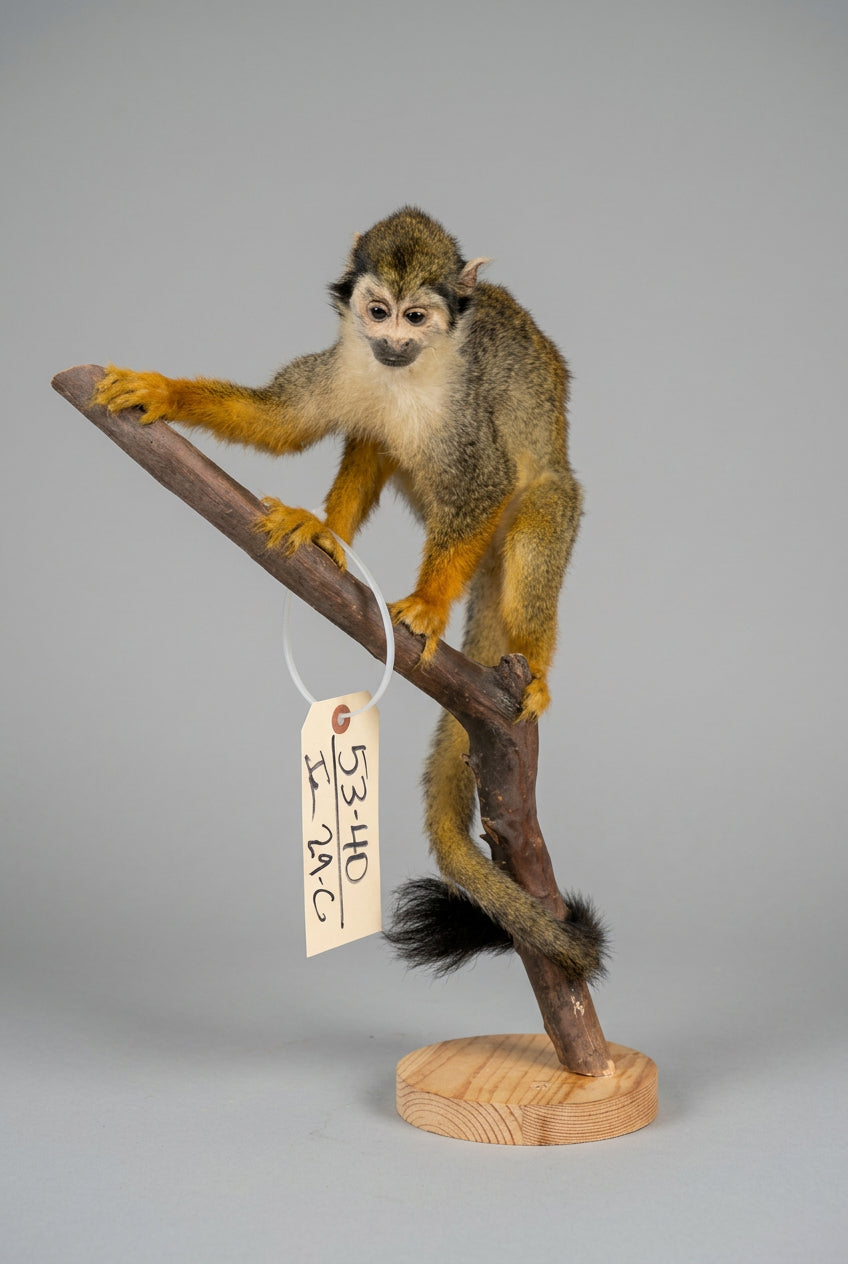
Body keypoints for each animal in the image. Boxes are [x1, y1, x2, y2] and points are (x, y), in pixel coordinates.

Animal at [94, 206, 606, 982]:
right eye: (378, 311)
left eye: (417, 316)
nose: (393, 341)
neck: (408, 372)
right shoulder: (344, 363)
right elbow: (284, 422)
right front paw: (163, 393)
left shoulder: (465, 413)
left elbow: (482, 480)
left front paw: (428, 603)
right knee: (373, 437)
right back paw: (327, 535)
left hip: (549, 510)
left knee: (533, 522)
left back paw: (533, 658)